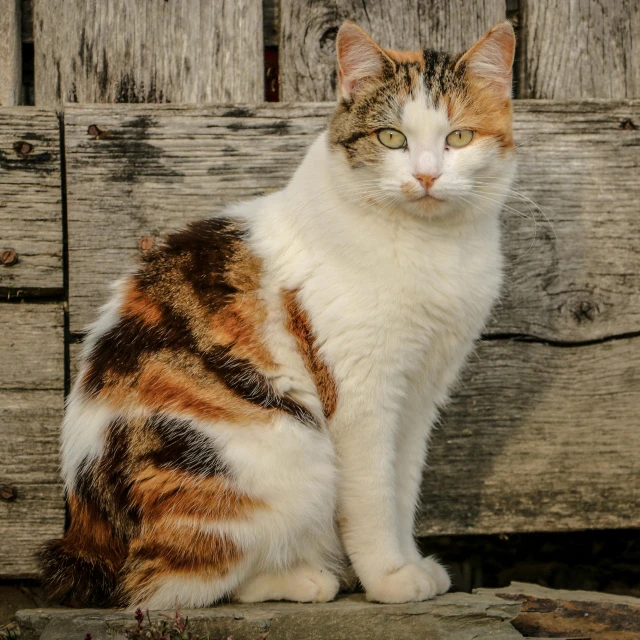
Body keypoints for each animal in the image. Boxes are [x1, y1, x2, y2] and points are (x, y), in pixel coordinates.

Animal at [40, 20, 516, 608]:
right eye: (391, 138)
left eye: (459, 138)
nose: (426, 177)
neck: (431, 246)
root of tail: (86, 533)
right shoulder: (362, 394)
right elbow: (372, 497)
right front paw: (388, 578)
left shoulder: (420, 393)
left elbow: (402, 488)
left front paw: (409, 564)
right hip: (283, 454)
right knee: (173, 582)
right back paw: (306, 579)